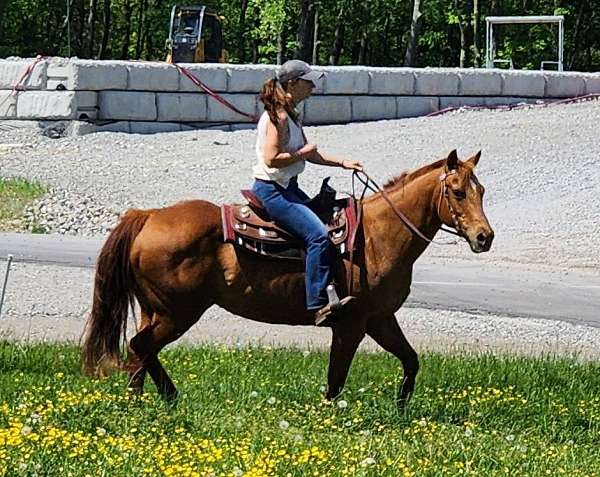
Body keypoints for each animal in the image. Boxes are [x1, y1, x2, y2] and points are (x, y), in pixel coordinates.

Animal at [82, 150, 494, 406]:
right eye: (458, 192)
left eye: (482, 190)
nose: (484, 237)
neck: (378, 235)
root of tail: (148, 215)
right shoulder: (351, 323)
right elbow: (336, 378)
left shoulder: (380, 319)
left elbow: (411, 361)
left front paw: (401, 407)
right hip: (176, 313)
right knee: (140, 347)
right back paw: (169, 397)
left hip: (155, 310)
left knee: (140, 353)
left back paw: (143, 403)